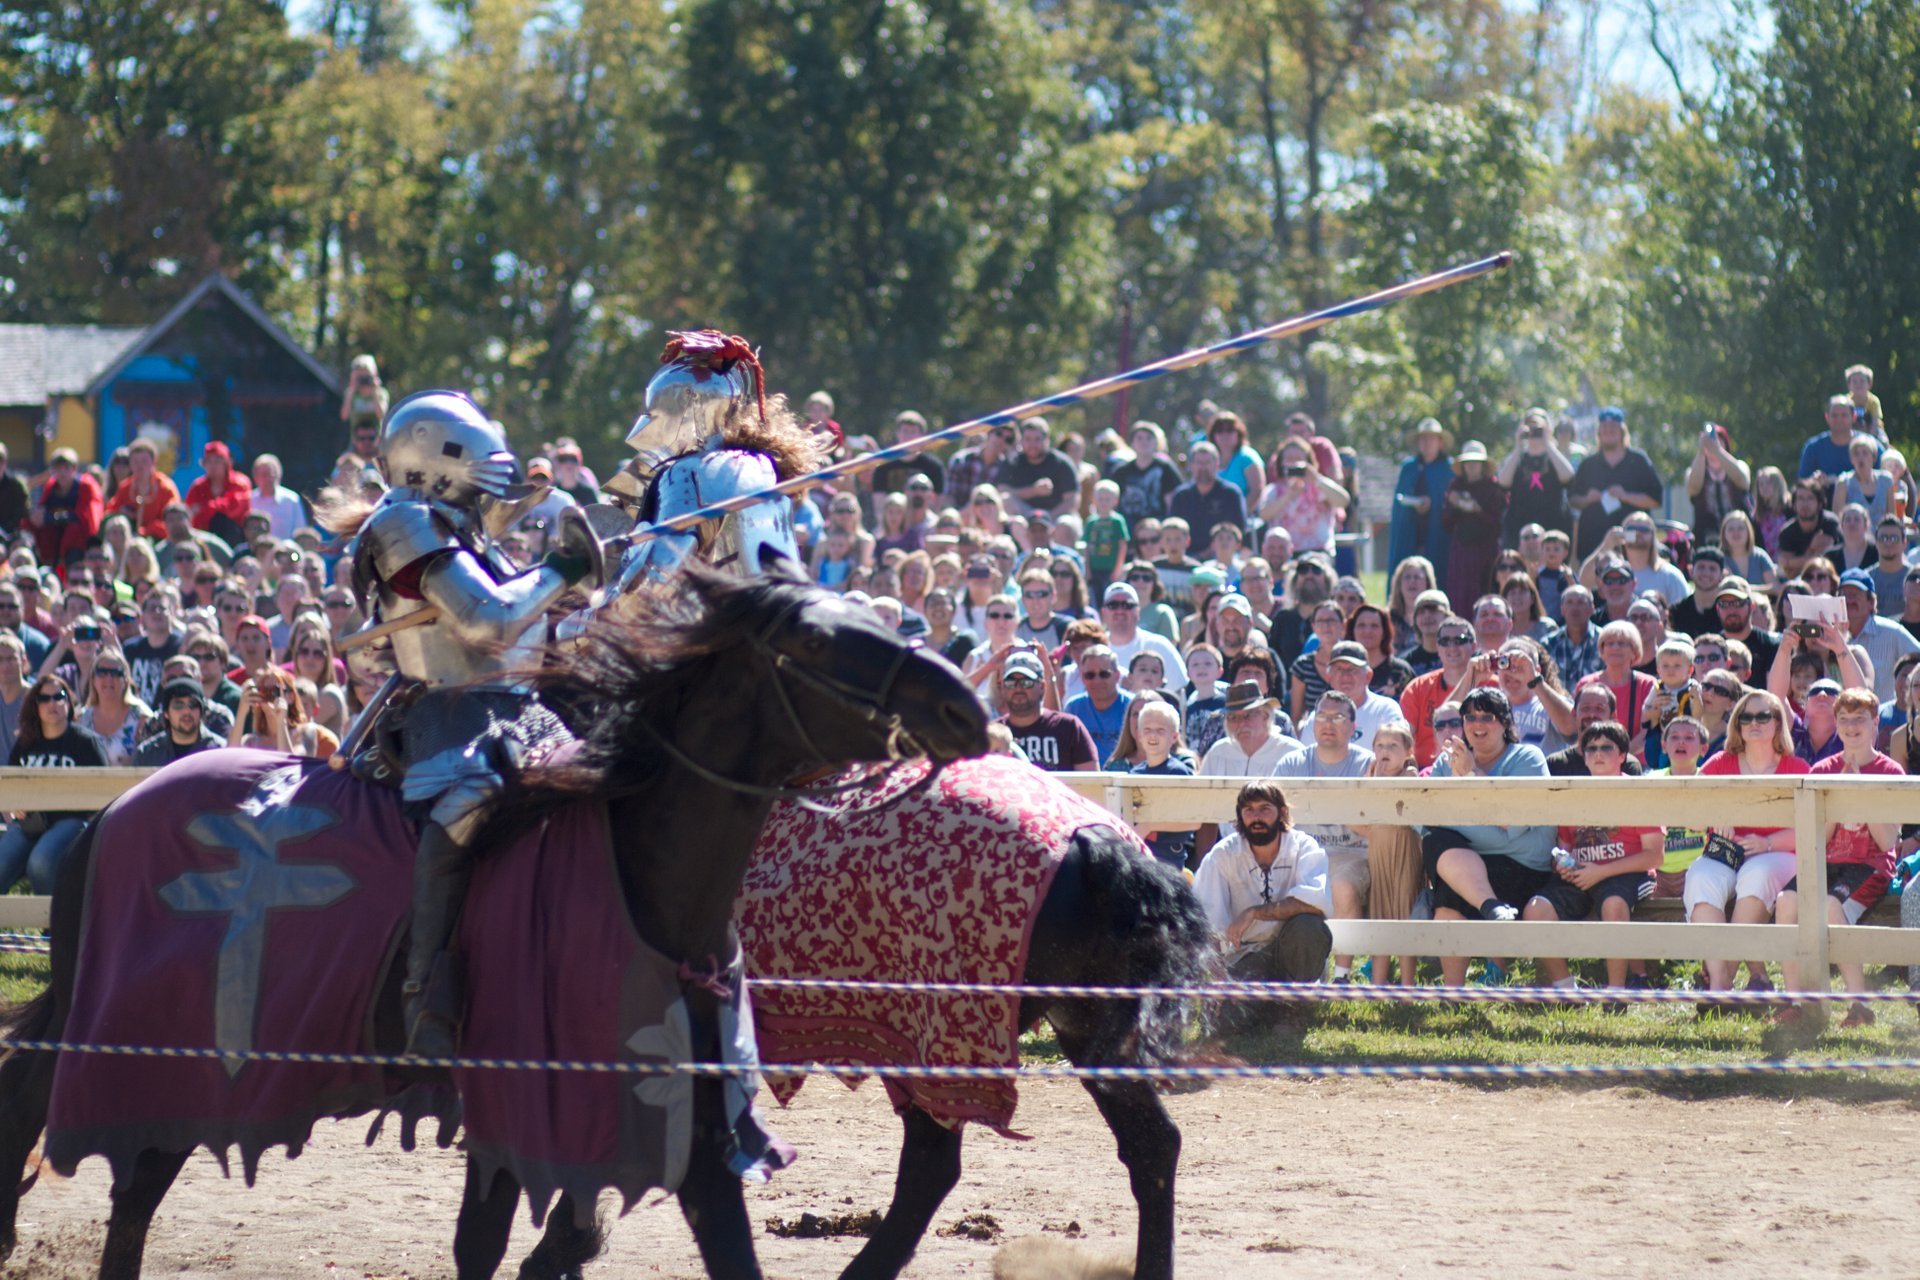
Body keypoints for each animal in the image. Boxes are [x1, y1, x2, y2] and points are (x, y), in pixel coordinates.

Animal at [0, 571, 990, 1280]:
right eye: (818, 640)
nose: (964, 708)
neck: (639, 870)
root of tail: (107, 813)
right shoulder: (518, 1110)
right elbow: (489, 1244)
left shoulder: (677, 1129)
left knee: (127, 1189)